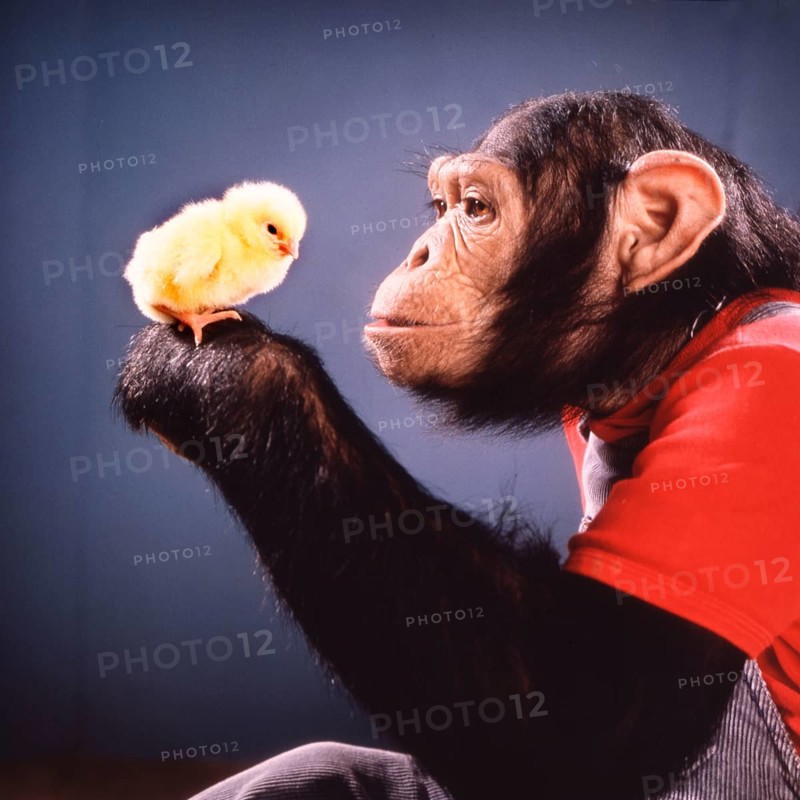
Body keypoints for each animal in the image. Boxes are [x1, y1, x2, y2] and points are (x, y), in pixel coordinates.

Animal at [114, 92, 800, 800]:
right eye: (440, 208)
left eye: (475, 209)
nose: (418, 253)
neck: (675, 334)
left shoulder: (752, 399)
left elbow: (591, 714)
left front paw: (231, 371)